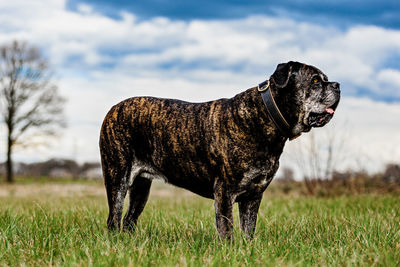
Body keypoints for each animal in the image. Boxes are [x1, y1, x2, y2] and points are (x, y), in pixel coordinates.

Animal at [98, 61, 340, 240]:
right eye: (315, 81)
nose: (337, 85)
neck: (266, 115)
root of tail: (112, 109)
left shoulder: (253, 195)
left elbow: (248, 230)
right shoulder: (225, 191)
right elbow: (227, 230)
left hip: (141, 187)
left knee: (129, 220)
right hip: (117, 178)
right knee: (113, 219)